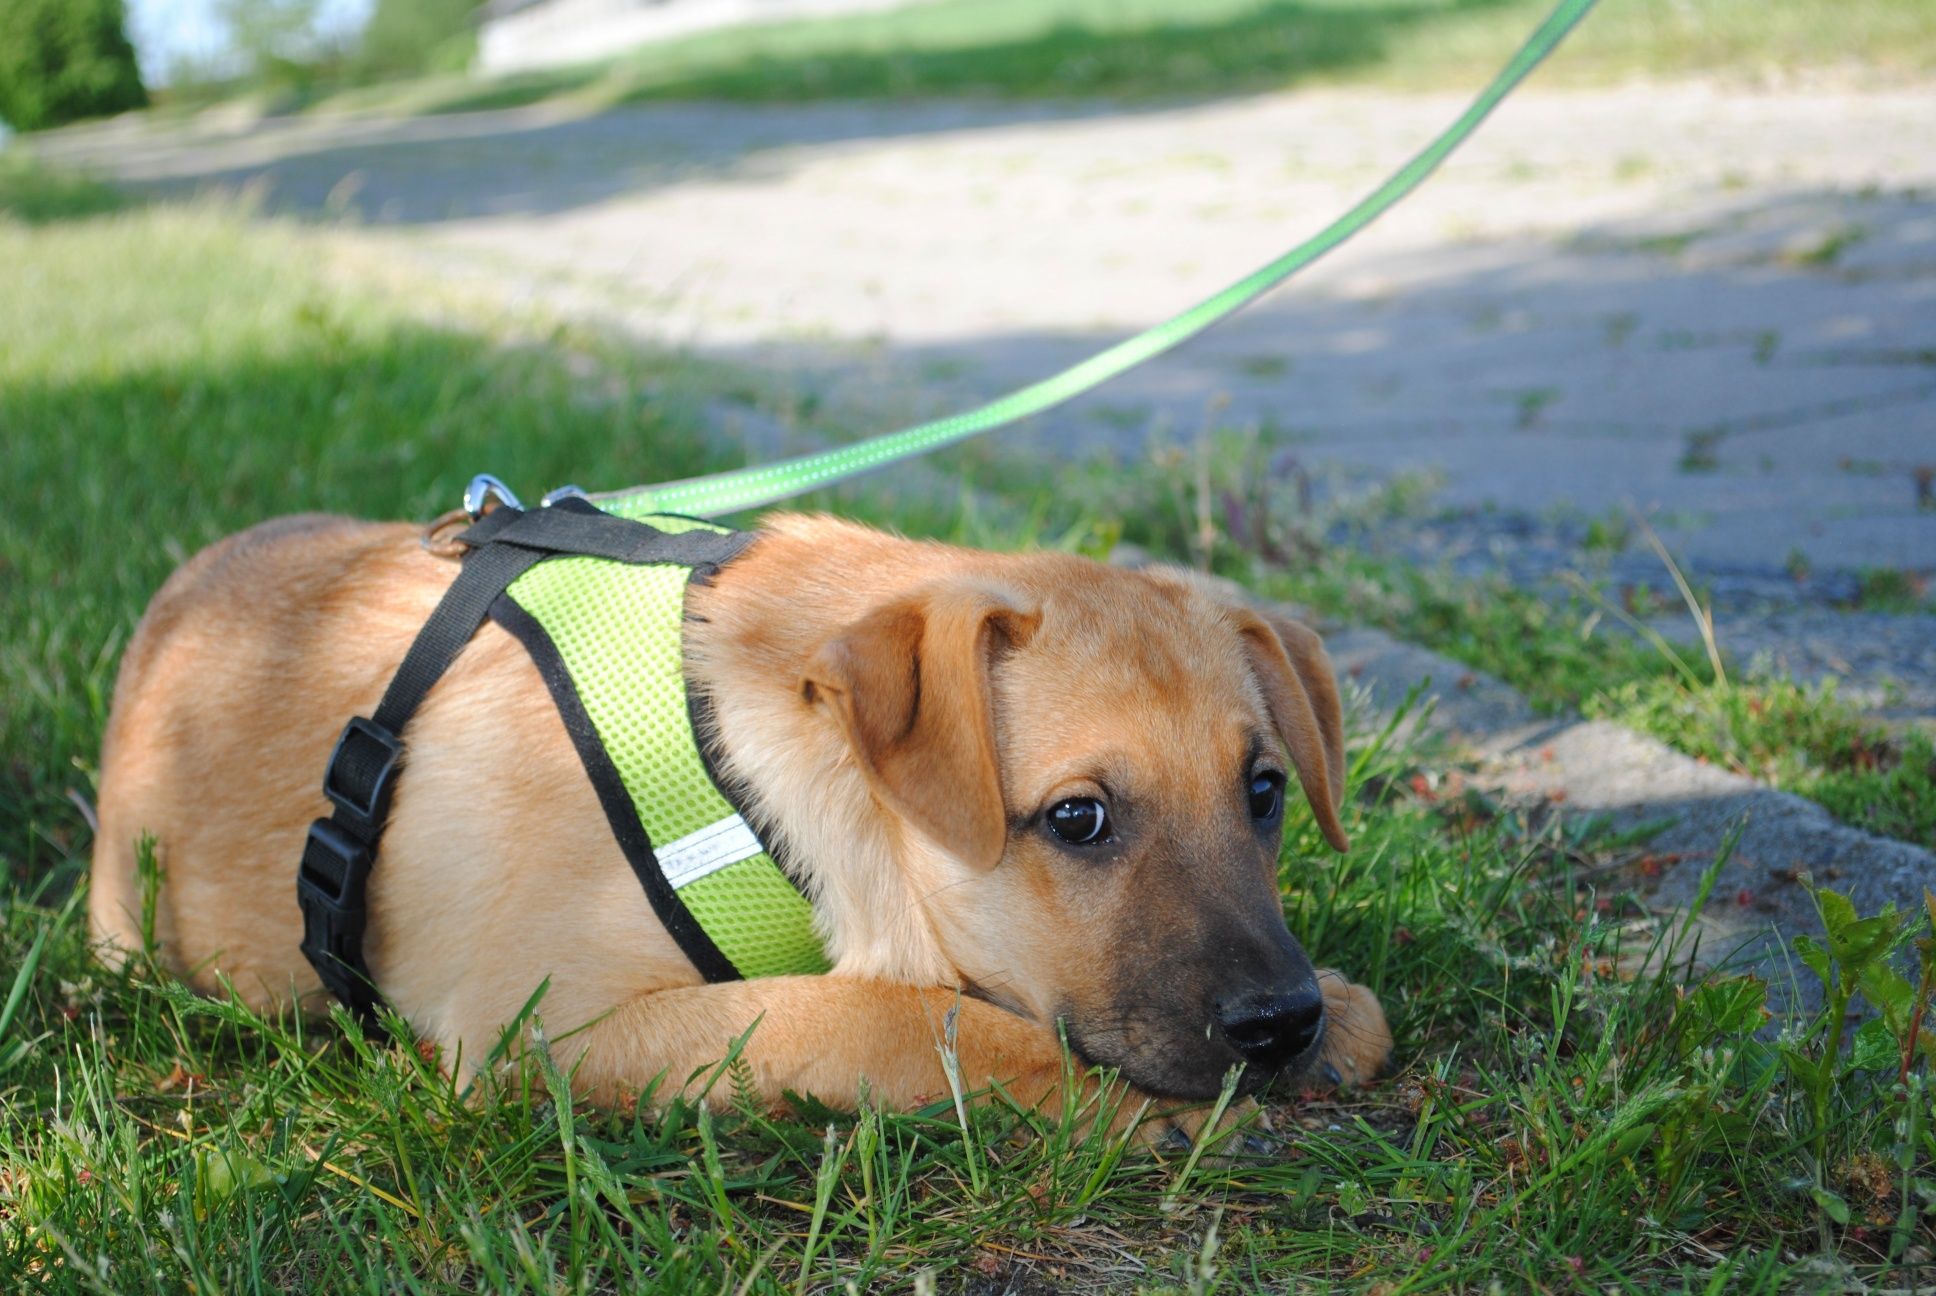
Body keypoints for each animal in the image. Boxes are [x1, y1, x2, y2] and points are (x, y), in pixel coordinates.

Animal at [90, 511, 1393, 1123]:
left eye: (1265, 793)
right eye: (1077, 818)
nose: (1281, 1023)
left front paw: (1344, 1011)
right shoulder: (533, 1027)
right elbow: (880, 1015)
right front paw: (1102, 1100)